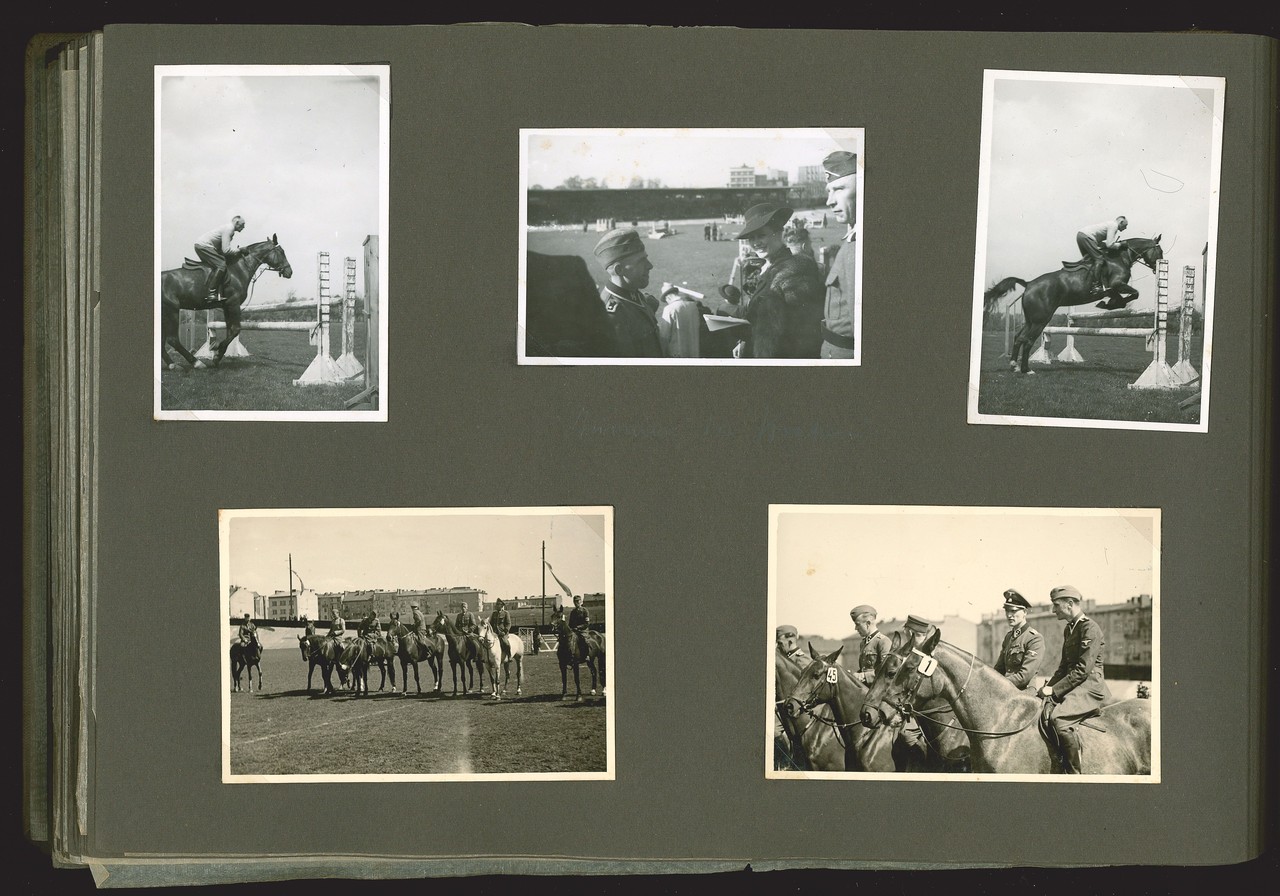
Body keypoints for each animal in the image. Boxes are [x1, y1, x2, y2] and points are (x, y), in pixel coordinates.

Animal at [158, 234, 293, 371]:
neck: (238, 269)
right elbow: (235, 330)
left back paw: (172, 364)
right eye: (281, 252)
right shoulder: (233, 304)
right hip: (172, 310)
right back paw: (196, 363)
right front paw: (217, 352)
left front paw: (218, 353)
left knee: (163, 341)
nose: (289, 272)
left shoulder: (226, 306)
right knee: (172, 339)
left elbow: (230, 330)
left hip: (165, 313)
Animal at [983, 234, 1167, 373]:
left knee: (1018, 338)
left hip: (1031, 319)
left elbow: (1121, 298)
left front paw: (1107, 304)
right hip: (1040, 320)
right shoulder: (1116, 285)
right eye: (1160, 251)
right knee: (1026, 340)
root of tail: (1028, 284)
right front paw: (1109, 304)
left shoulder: (1112, 289)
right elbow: (1134, 294)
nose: (1158, 267)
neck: (1120, 258)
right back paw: (1026, 370)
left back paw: (1014, 365)